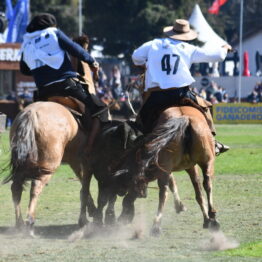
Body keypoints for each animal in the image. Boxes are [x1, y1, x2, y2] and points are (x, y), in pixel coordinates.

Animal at [114, 105, 219, 234]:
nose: (119, 191)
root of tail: (184, 119)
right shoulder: (187, 167)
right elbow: (195, 191)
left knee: (166, 190)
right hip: (203, 163)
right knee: (204, 184)